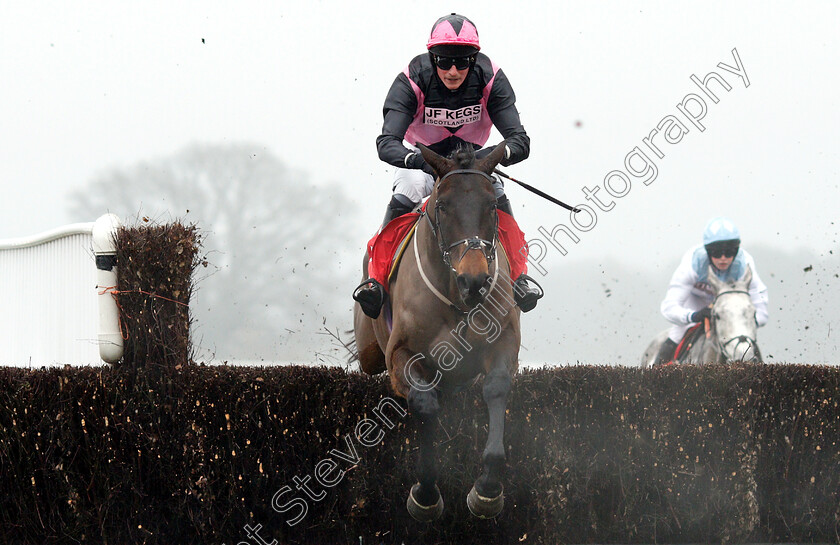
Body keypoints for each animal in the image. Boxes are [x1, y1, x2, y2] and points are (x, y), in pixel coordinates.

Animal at [352, 142, 520, 520]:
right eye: (443, 206)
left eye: (492, 207)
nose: (474, 280)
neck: (457, 299)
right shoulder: (401, 354)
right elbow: (425, 402)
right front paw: (426, 493)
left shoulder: (503, 341)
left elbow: (496, 387)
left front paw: (487, 488)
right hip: (369, 352)